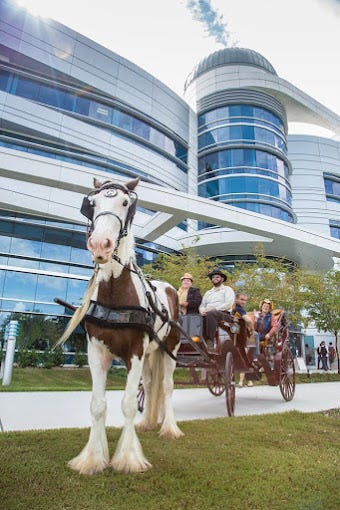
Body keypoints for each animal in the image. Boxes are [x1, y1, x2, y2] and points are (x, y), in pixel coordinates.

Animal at [55, 177, 183, 476]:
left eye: (125, 203)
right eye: (92, 204)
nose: (100, 245)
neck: (115, 291)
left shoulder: (134, 352)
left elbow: (127, 404)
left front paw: (127, 458)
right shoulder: (97, 352)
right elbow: (98, 405)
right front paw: (92, 458)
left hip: (169, 350)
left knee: (167, 386)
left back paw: (169, 428)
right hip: (150, 354)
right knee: (151, 384)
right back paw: (147, 423)